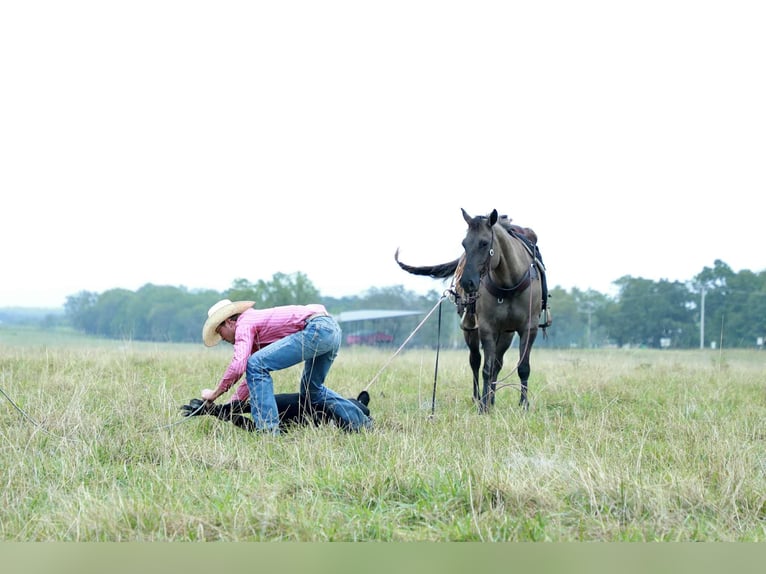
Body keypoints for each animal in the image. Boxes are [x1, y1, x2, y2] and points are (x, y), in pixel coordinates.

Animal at [395, 208, 545, 412]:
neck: (509, 284)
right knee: (475, 360)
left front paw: (523, 405)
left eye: (484, 243)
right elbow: (485, 368)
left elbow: (522, 367)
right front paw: (483, 406)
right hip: (471, 331)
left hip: (506, 334)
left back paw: (491, 398)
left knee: (498, 363)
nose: (467, 282)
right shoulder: (486, 328)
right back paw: (479, 398)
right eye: (464, 243)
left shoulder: (529, 328)